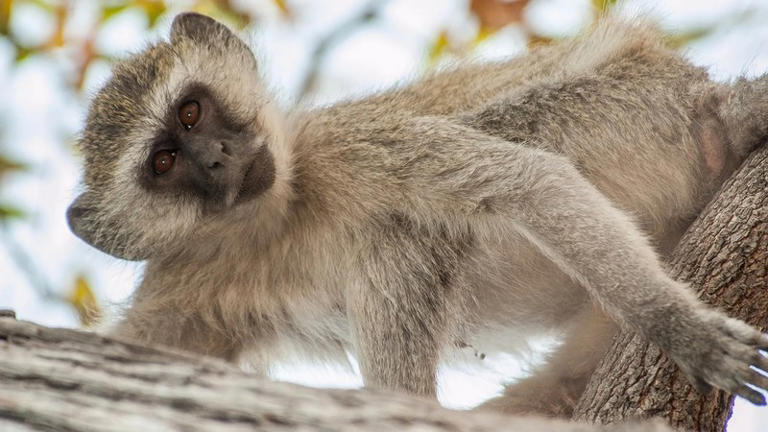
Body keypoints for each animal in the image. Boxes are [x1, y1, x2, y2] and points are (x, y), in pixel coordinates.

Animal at [67, 12, 768, 418]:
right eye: (162, 163)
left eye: (191, 112)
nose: (215, 159)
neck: (276, 218)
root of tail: (703, 95)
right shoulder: (181, 282)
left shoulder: (356, 148)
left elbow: (526, 182)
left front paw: (677, 326)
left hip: (629, 112)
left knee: (397, 231)